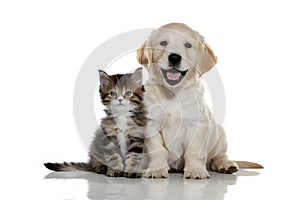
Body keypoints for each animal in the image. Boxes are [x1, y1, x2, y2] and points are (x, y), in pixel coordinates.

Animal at [137, 22, 262, 179]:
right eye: (163, 43)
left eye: (188, 45)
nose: (174, 57)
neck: (173, 93)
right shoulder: (151, 124)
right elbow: (157, 150)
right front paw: (157, 170)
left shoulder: (198, 124)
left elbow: (194, 150)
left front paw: (196, 170)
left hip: (219, 135)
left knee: (218, 157)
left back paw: (227, 165)